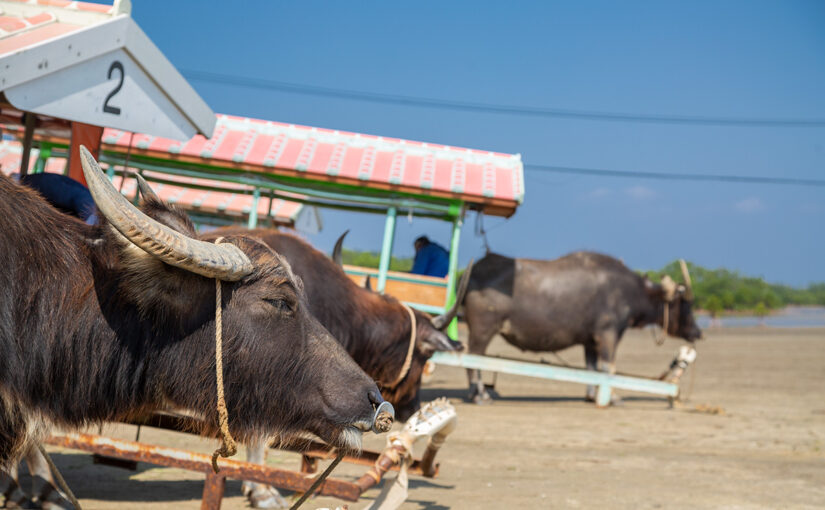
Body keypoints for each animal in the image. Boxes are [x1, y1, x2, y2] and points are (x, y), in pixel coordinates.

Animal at [460, 250, 700, 402]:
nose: (698, 332)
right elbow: (609, 367)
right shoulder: (608, 334)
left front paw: (591, 395)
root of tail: (472, 272)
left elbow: (591, 368)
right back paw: (480, 394)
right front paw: (612, 397)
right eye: (685, 304)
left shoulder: (589, 341)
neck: (630, 292)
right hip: (483, 330)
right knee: (474, 358)